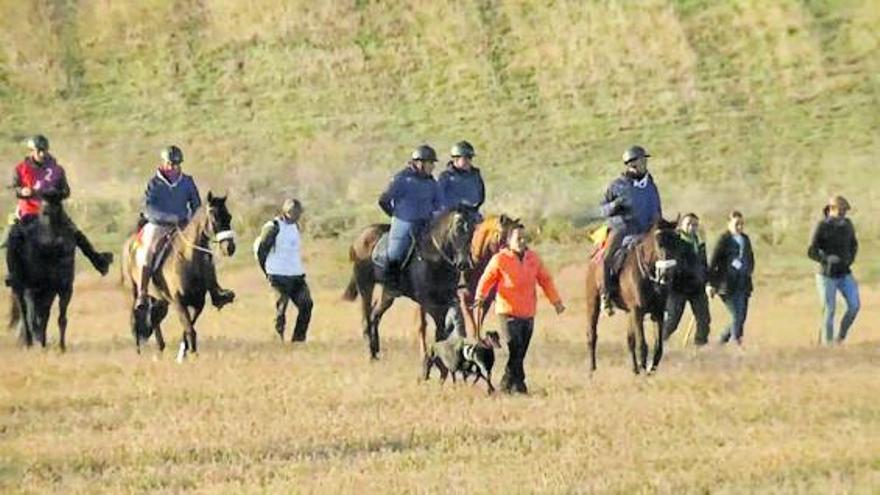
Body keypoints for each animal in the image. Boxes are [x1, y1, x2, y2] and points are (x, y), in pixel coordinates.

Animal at [122, 193, 237, 360]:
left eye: (229, 216)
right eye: (214, 218)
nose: (230, 248)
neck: (187, 259)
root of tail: (130, 242)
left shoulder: (198, 303)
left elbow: (188, 328)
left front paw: (184, 352)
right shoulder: (179, 302)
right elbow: (190, 329)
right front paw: (192, 354)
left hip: (161, 299)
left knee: (155, 318)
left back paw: (161, 347)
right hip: (135, 289)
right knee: (137, 312)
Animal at [344, 205, 482, 360]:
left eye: (473, 228)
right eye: (458, 227)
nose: (463, 263)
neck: (435, 256)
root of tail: (360, 237)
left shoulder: (447, 297)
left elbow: (445, 326)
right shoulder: (426, 300)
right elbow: (428, 325)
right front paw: (428, 356)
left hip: (388, 294)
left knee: (375, 315)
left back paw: (376, 350)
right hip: (365, 285)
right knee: (367, 317)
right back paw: (371, 353)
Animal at [414, 213, 524, 356]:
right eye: (502, 234)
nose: (514, 252)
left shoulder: (485, 299)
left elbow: (479, 320)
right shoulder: (465, 298)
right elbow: (472, 321)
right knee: (422, 324)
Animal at [588, 219, 684, 374]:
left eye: (677, 241)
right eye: (659, 242)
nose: (667, 275)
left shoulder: (657, 313)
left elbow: (658, 347)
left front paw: (650, 369)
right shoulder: (638, 311)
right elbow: (642, 345)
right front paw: (644, 369)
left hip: (629, 313)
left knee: (630, 340)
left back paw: (635, 369)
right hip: (593, 303)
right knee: (592, 336)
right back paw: (592, 370)